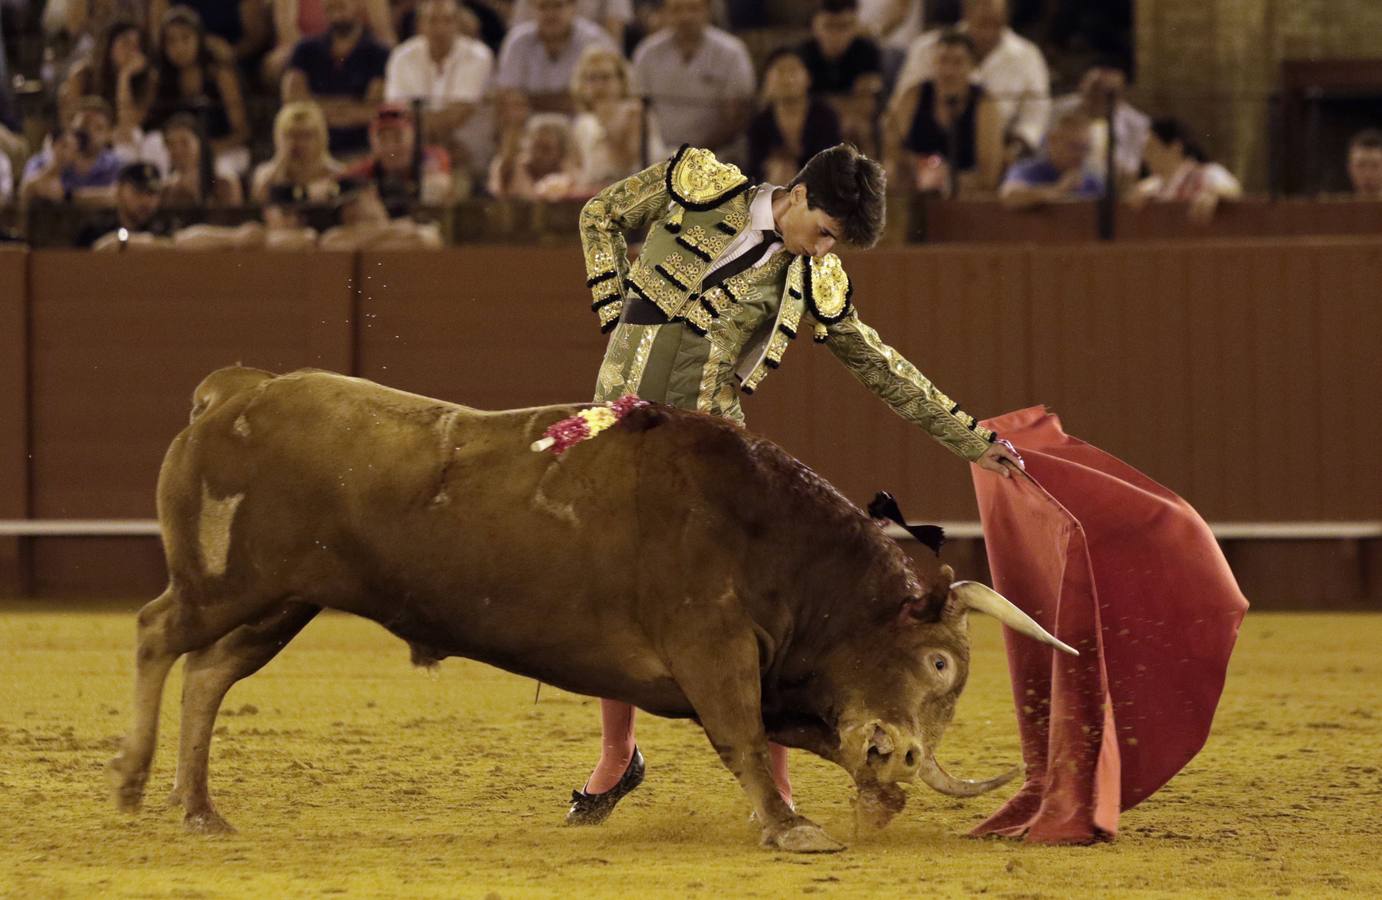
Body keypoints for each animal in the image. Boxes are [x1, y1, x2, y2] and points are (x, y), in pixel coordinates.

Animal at [110, 364, 1077, 851]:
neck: (772, 537)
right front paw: (791, 828)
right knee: (158, 633)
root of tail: (235, 389)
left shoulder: (768, 678)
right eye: (940, 662)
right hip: (227, 585)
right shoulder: (712, 644)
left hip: (283, 601)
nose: (901, 755)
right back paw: (130, 781)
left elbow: (781, 734)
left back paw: (198, 809)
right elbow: (741, 736)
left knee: (210, 674)